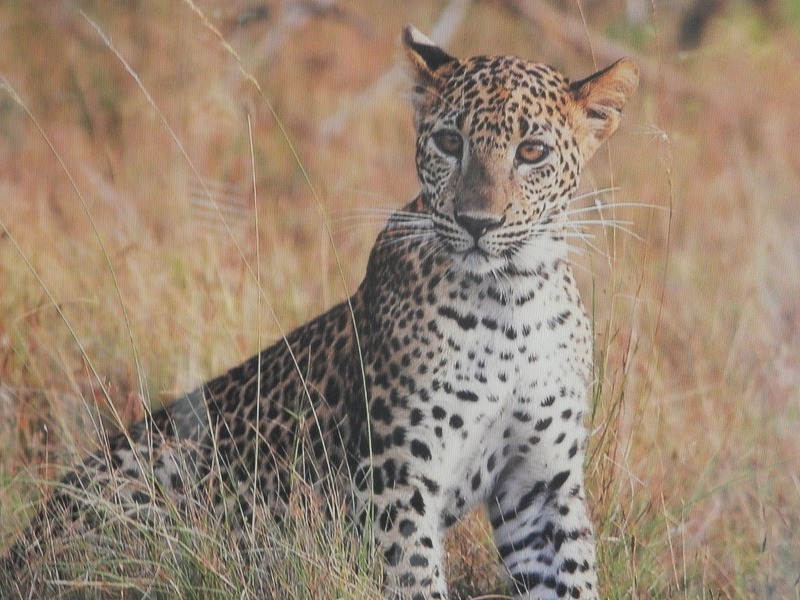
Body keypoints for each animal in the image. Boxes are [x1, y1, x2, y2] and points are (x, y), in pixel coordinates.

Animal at [1, 25, 638, 600]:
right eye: (449, 143)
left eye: (532, 152)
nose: (477, 222)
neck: (511, 302)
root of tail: (21, 548)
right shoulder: (394, 482)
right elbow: (413, 580)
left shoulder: (541, 487)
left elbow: (573, 578)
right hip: (160, 465)